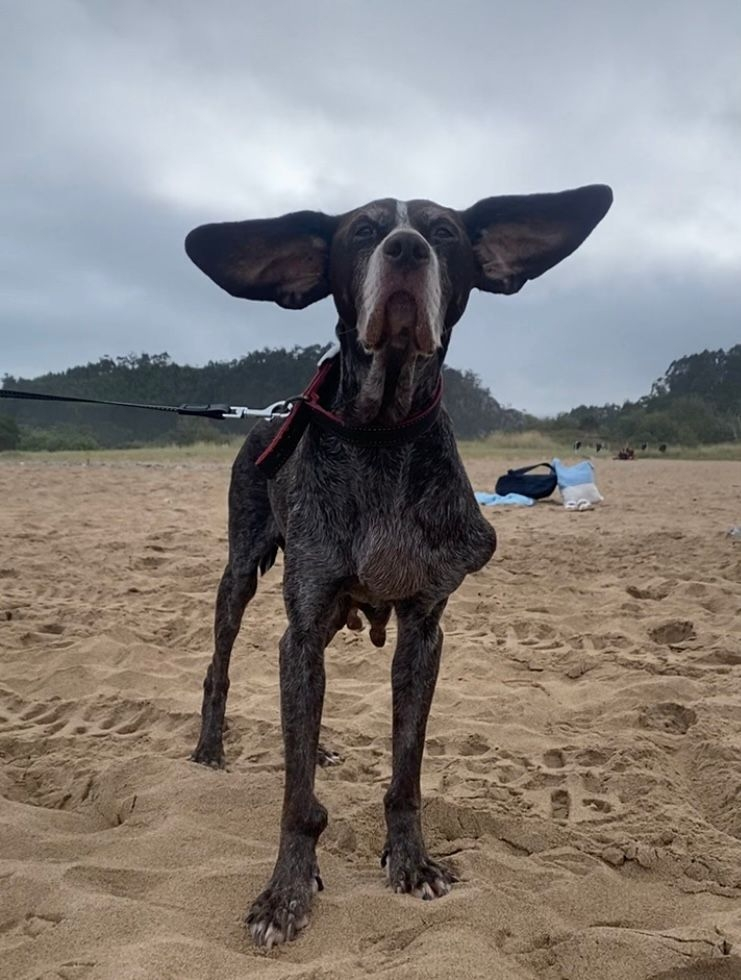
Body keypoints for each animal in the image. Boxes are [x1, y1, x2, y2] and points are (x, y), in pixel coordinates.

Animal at [184, 185, 612, 947]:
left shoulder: (423, 629)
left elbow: (405, 770)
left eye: (444, 233)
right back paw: (211, 746)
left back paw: (321, 748)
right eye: (361, 231)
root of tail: (268, 415)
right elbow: (296, 801)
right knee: (221, 663)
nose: (407, 249)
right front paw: (285, 893)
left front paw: (411, 861)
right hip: (243, 571)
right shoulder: (302, 622)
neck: (381, 431)